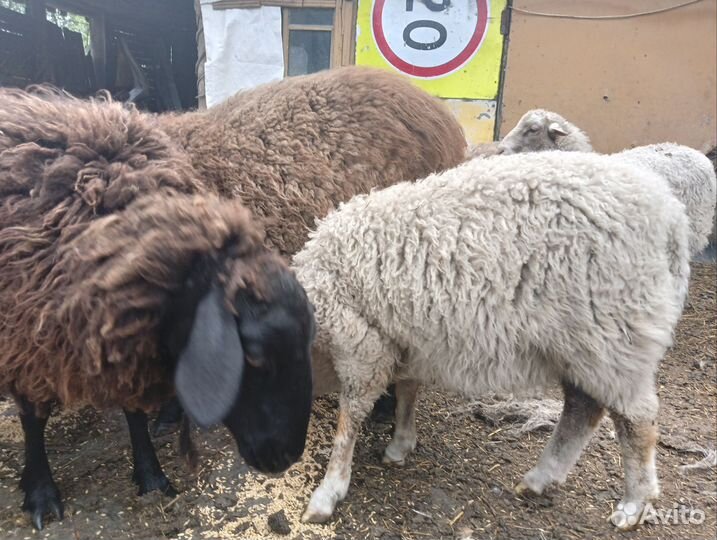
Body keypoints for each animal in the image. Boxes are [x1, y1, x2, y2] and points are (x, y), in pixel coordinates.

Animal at [0, 87, 315, 530]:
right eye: (252, 357)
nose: (287, 457)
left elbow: (133, 411)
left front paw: (150, 473)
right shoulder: (22, 338)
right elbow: (32, 419)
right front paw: (41, 493)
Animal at [292, 150, 691, 529]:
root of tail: (671, 216)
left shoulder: (363, 347)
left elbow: (350, 419)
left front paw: (329, 490)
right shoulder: (407, 340)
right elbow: (407, 390)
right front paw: (401, 444)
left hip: (615, 334)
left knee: (636, 421)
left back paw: (634, 502)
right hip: (582, 345)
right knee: (583, 408)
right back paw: (540, 479)